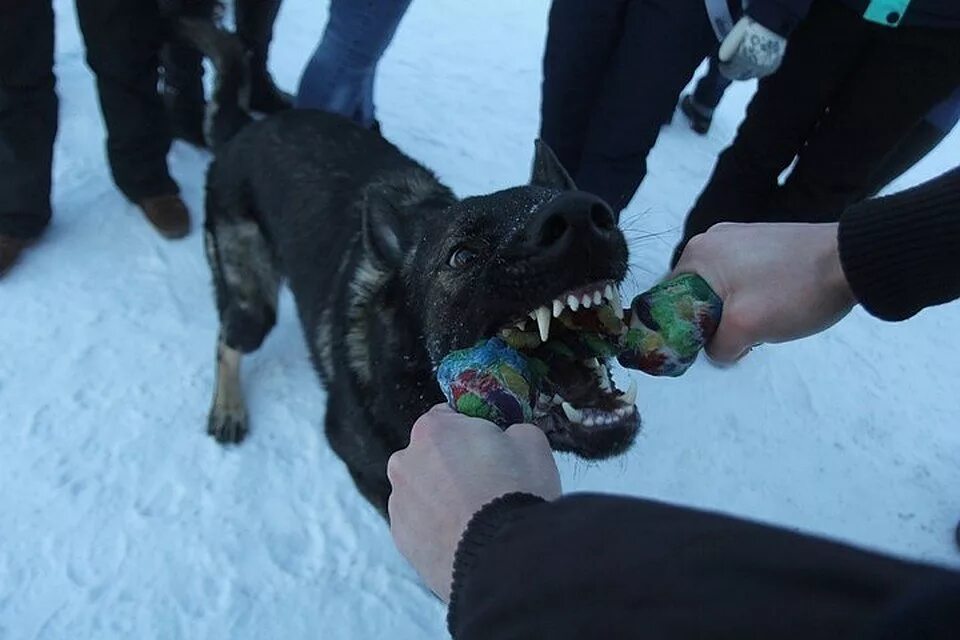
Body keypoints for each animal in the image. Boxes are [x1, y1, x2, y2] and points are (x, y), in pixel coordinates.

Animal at [184, 22, 640, 516]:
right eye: (462, 255)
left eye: (569, 203)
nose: (581, 217)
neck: (413, 372)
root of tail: (243, 131)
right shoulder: (370, 470)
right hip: (253, 304)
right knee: (228, 340)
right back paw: (228, 408)